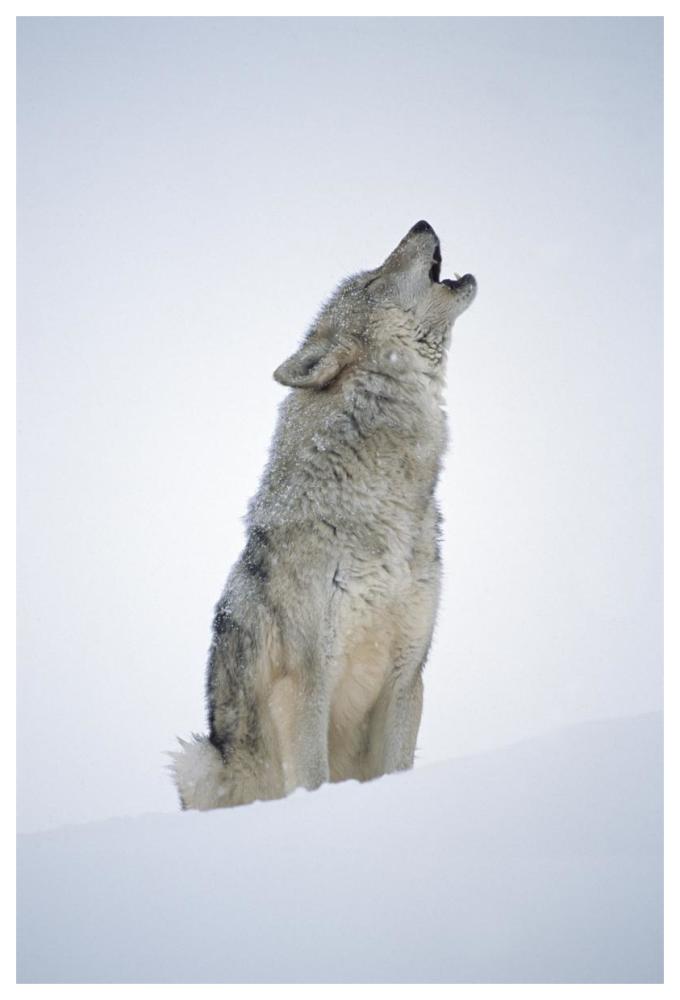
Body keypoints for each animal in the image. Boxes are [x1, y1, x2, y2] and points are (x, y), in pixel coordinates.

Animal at [171, 220, 476, 810]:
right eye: (374, 280)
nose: (422, 223)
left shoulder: (407, 676)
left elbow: (397, 767)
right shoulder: (306, 683)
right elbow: (311, 776)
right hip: (196, 760)